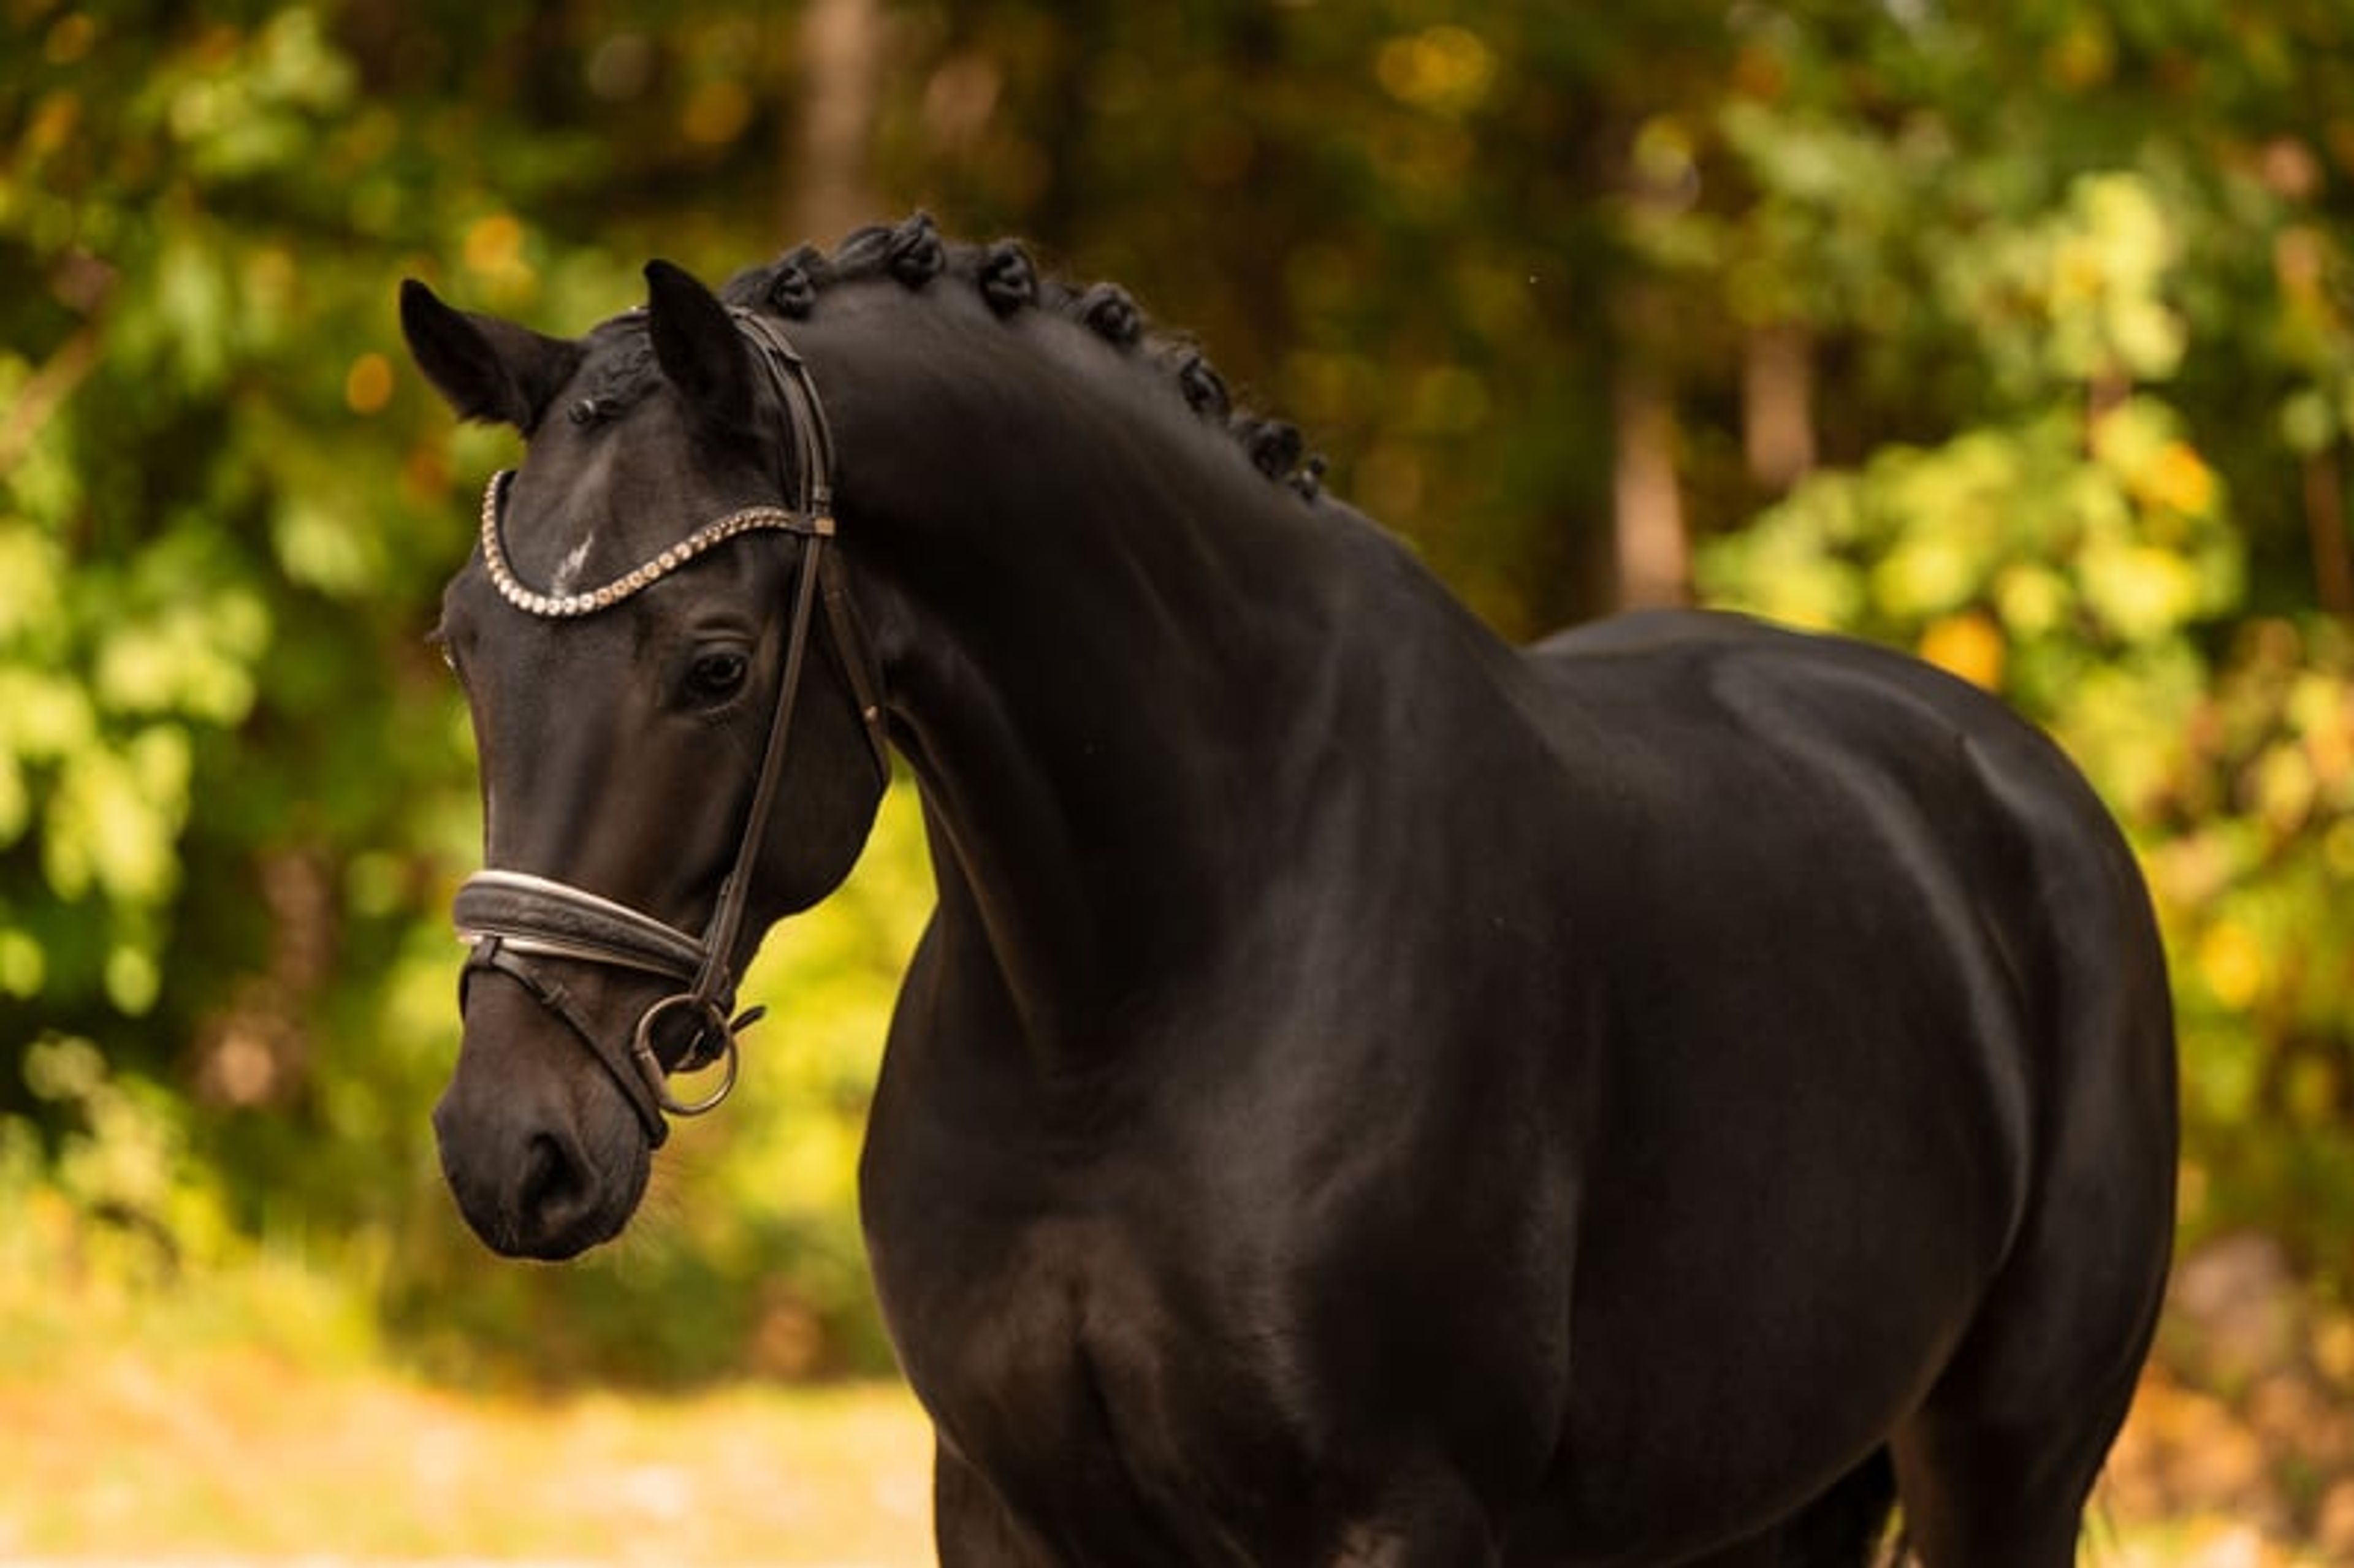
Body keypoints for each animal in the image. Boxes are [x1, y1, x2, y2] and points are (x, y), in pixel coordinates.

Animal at [400, 213, 2176, 1566]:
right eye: (466, 649)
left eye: (712, 665)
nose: (511, 1149)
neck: (1134, 1002)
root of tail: (2019, 785)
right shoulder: (1005, 1505)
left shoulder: (1399, 1516)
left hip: (2003, 1470)